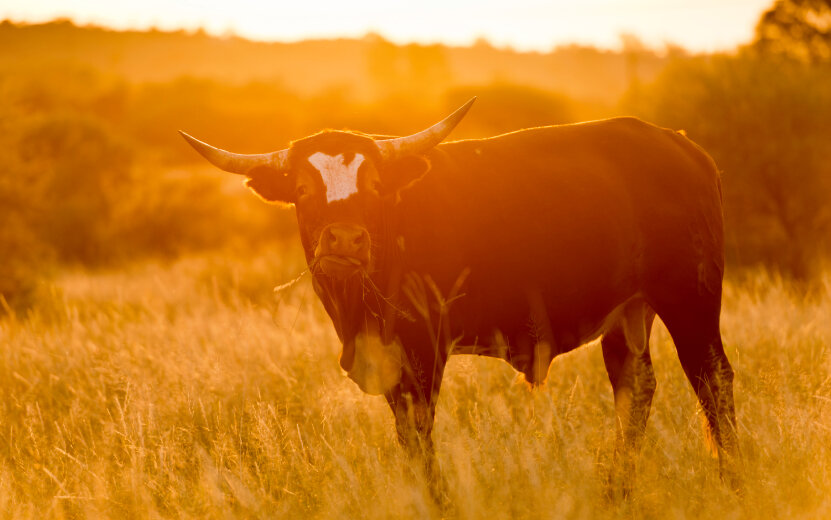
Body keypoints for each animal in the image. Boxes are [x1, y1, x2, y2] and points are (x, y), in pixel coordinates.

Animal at [180, 99, 740, 498]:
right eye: (301, 188)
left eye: (375, 184)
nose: (344, 240)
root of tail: (682, 145)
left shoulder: (424, 349)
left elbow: (419, 433)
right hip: (629, 311)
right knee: (635, 386)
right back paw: (616, 491)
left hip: (691, 297)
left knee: (713, 381)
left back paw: (733, 481)